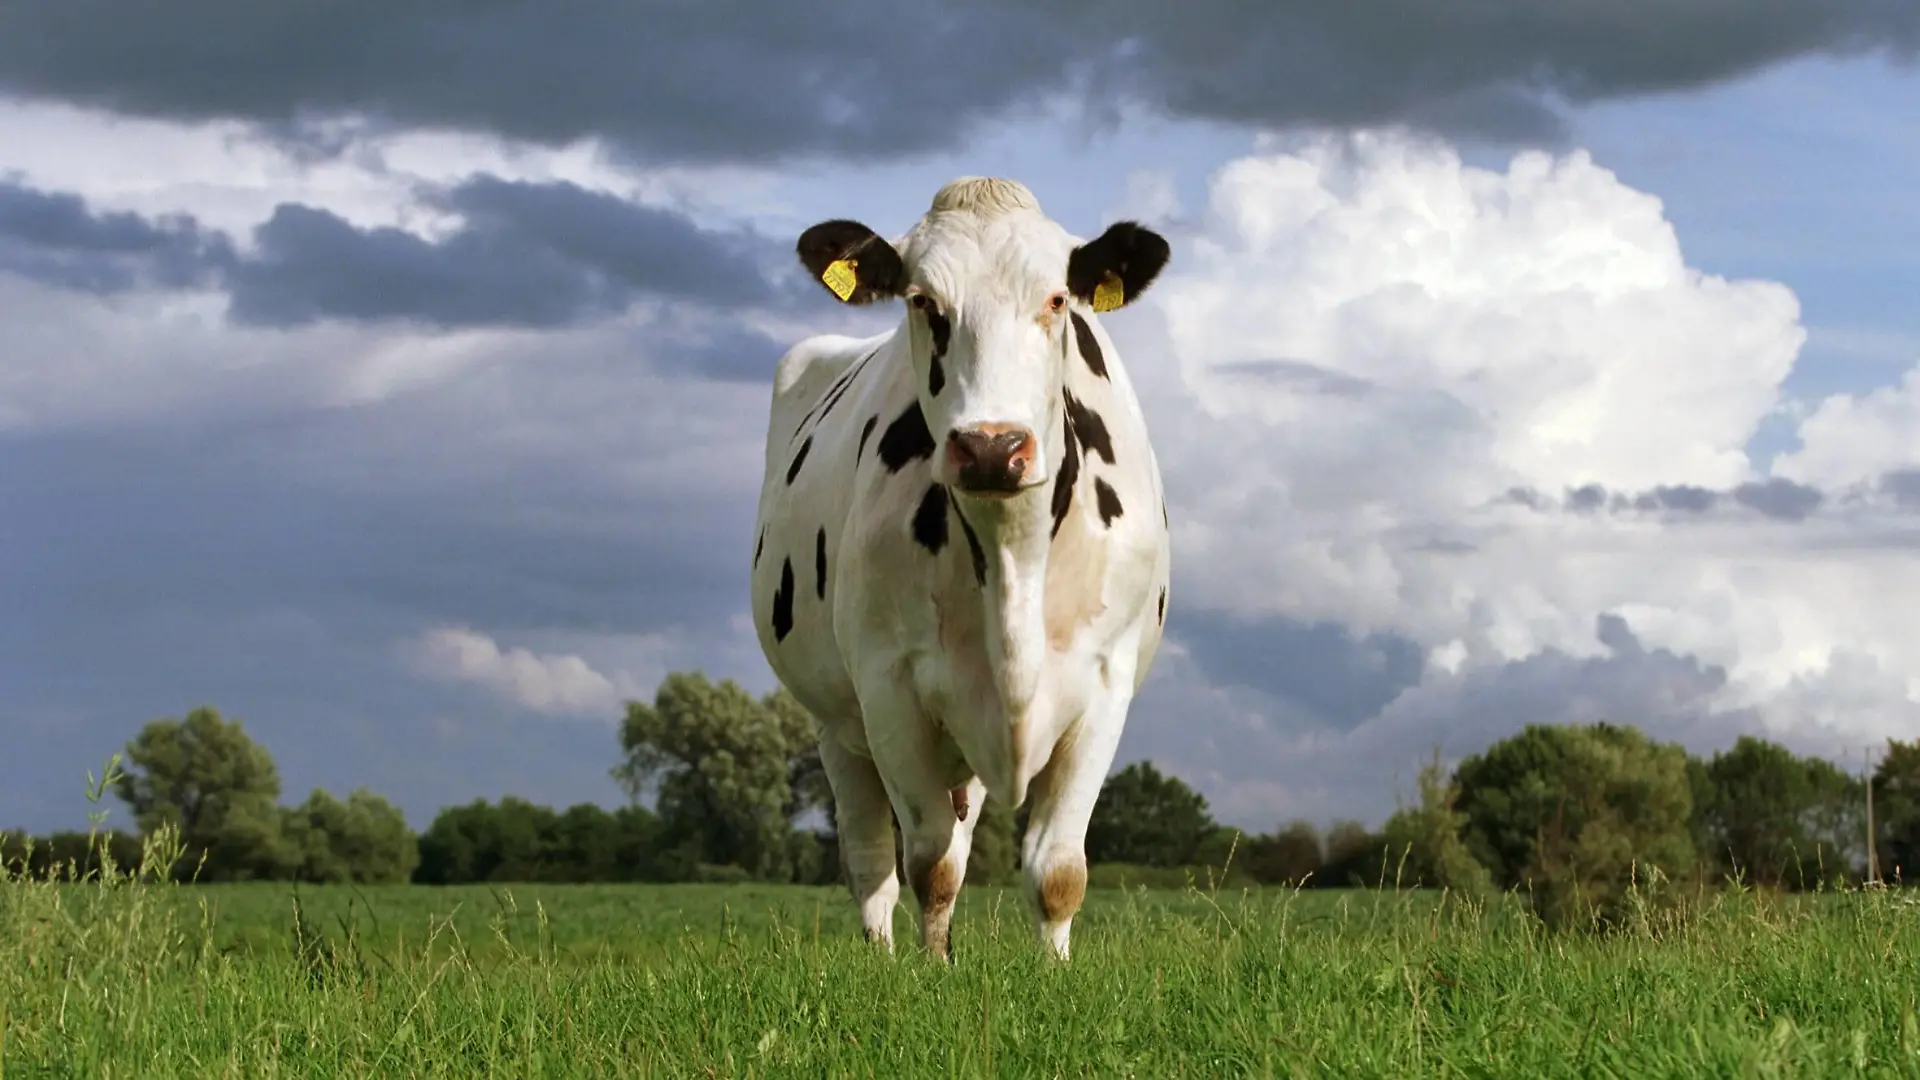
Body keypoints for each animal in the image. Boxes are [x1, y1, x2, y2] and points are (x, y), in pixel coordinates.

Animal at [748, 176, 1172, 962]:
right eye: (923, 301)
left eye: (1057, 299)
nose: (991, 447)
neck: (1011, 560)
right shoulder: (889, 685)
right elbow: (930, 864)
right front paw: (932, 970)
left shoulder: (1106, 681)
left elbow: (1058, 870)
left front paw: (1053, 970)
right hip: (836, 724)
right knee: (870, 862)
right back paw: (880, 957)